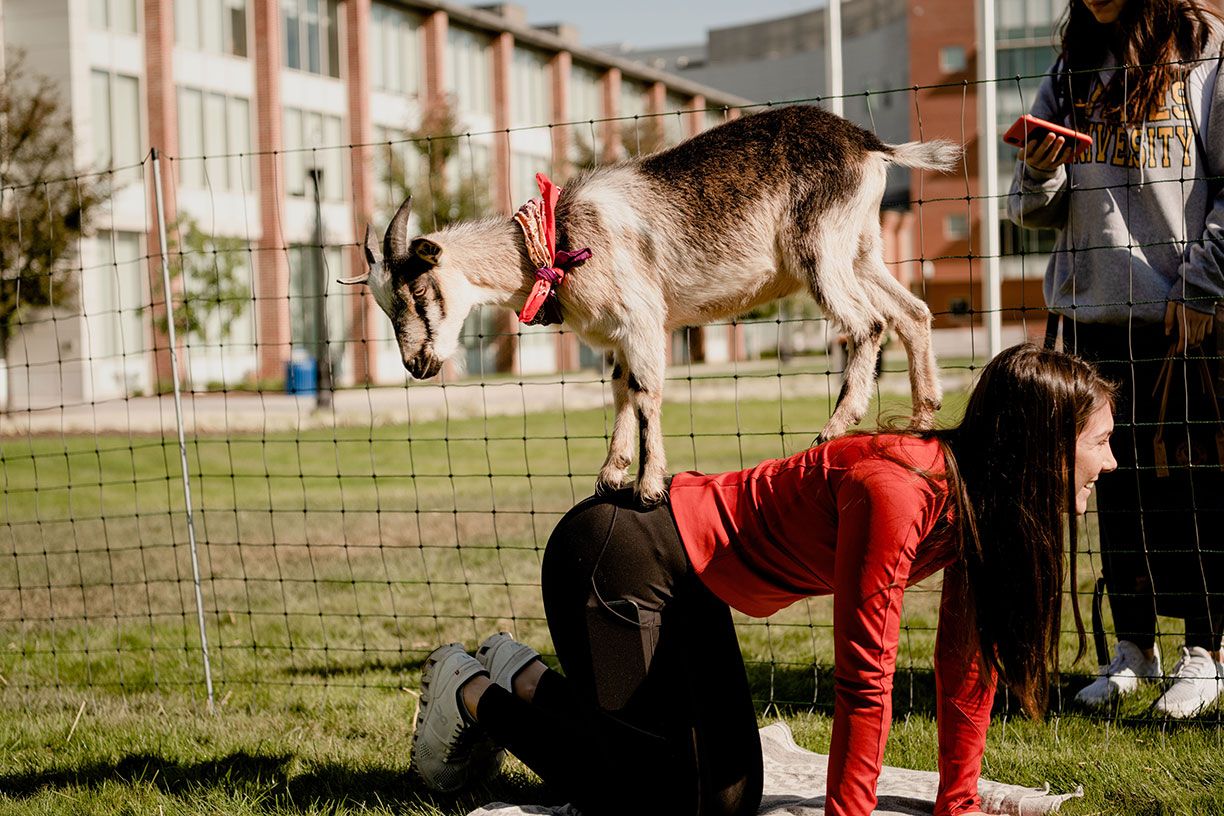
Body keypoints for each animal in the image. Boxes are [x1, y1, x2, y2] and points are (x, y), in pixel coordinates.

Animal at [340, 103, 959, 504]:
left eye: (419, 289)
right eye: (383, 306)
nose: (417, 365)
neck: (557, 240)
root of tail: (870, 145)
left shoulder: (642, 321)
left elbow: (646, 393)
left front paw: (649, 485)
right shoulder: (617, 334)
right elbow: (619, 391)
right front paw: (611, 474)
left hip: (821, 251)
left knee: (868, 323)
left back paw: (834, 429)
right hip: (861, 250)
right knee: (912, 312)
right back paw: (921, 421)